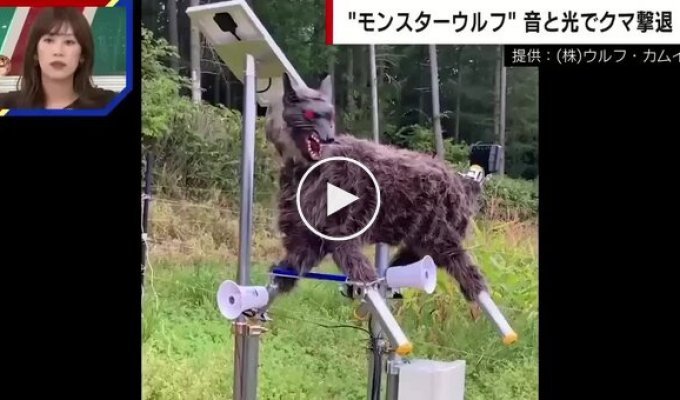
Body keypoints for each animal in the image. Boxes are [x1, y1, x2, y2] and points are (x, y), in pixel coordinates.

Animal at [263, 73, 489, 315]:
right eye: (310, 114)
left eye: (331, 115)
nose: (329, 138)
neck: (305, 168)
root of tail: (461, 183)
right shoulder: (307, 237)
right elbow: (291, 266)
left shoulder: (341, 232)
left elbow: (356, 265)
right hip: (419, 240)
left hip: (441, 238)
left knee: (466, 268)